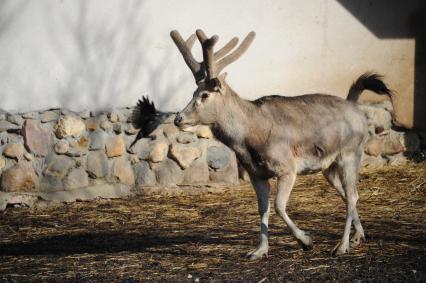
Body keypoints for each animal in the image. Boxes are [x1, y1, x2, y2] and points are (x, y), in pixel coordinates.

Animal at [170, 28, 392, 260]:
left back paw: (342, 246)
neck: (250, 138)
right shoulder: (256, 173)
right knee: (349, 194)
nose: (178, 119)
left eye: (204, 95)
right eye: (193, 93)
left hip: (351, 154)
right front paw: (259, 250)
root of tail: (357, 109)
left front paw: (306, 240)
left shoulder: (287, 167)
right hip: (328, 166)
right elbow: (263, 209)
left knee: (351, 195)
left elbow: (278, 205)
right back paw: (358, 237)